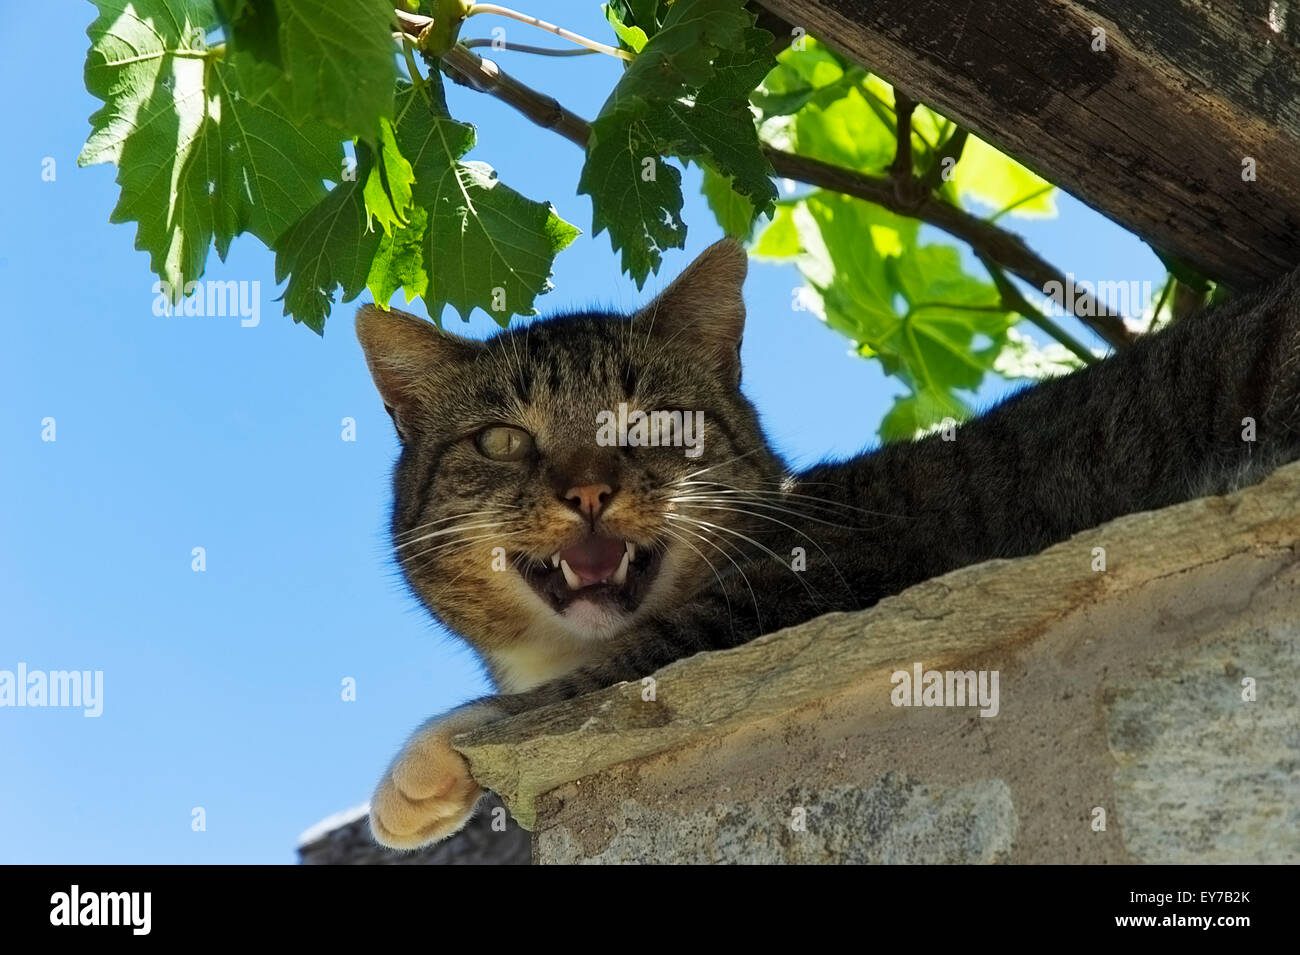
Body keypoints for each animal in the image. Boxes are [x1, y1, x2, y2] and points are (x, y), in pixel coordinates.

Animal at [356, 237, 1300, 841]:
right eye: (502, 440)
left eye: (655, 422)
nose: (588, 489)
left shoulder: (790, 600)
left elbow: (596, 686)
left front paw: (420, 763)